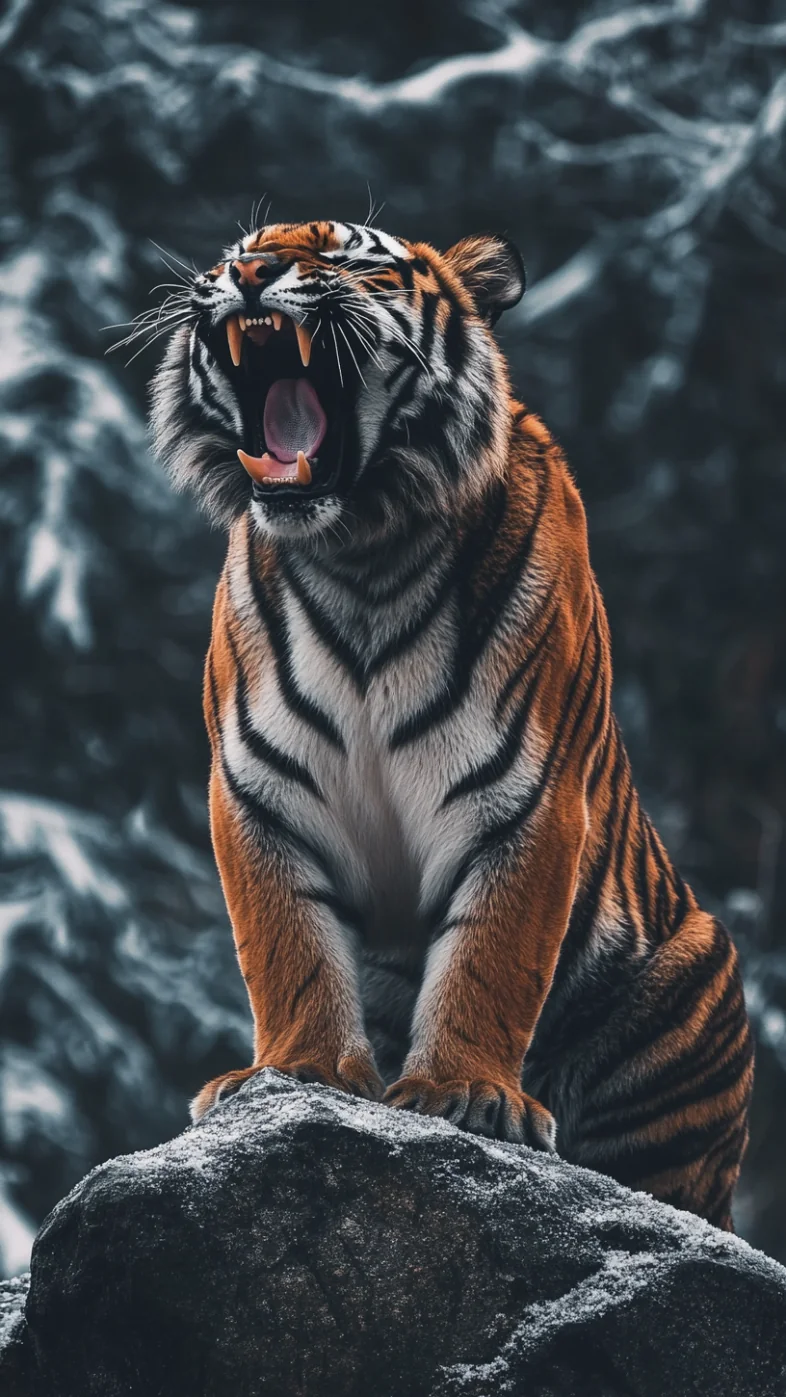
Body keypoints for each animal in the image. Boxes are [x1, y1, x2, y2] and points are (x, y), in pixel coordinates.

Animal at [150, 218, 753, 1230]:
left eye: (345, 255)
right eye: (238, 249)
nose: (248, 273)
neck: (359, 553)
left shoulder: (527, 798)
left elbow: (491, 955)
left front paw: (463, 1093)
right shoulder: (260, 789)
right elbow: (289, 947)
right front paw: (297, 1072)